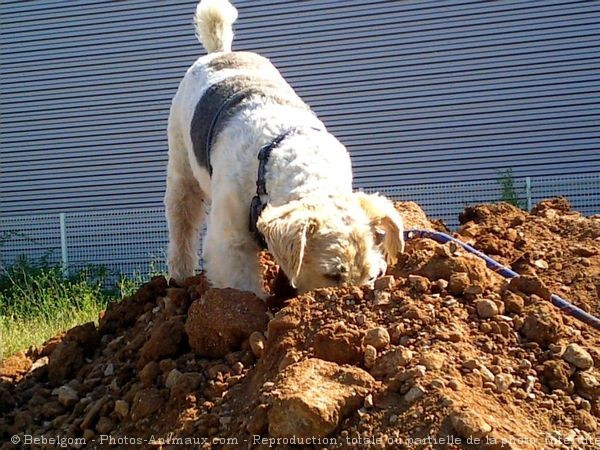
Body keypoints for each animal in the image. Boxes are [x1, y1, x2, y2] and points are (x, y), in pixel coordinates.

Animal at [166, 0, 406, 298]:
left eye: (371, 274)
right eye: (332, 274)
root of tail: (220, 52)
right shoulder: (229, 240)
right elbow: (242, 284)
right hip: (181, 165)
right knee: (182, 218)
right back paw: (180, 274)